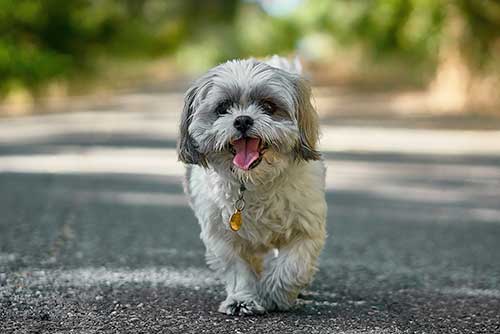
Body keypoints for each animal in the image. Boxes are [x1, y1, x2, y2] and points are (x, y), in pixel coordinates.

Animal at [178, 56, 326, 314]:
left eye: (268, 106)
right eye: (223, 108)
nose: (243, 120)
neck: (254, 183)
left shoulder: (306, 228)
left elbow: (293, 265)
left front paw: (275, 294)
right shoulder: (222, 236)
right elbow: (237, 269)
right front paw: (242, 300)